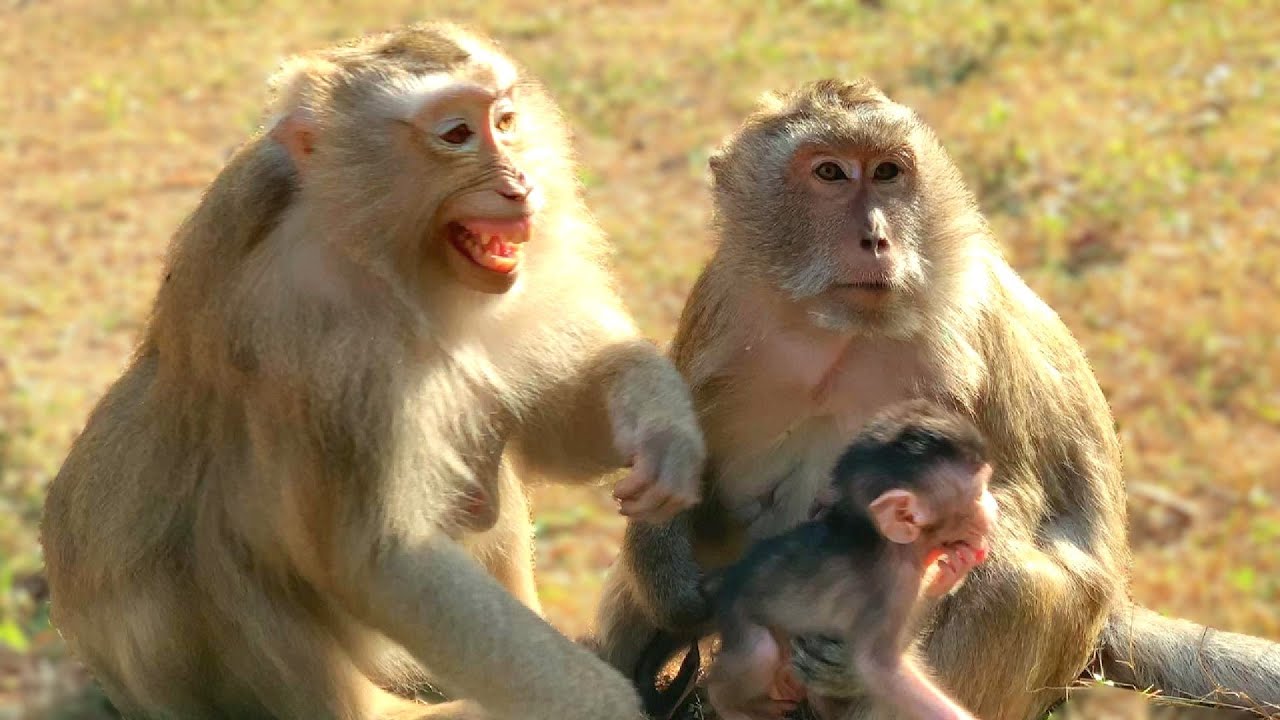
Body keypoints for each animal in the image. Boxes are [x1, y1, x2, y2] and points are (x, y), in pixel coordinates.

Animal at [39, 22, 706, 720]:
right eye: (456, 135)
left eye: (505, 120)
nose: (521, 186)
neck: (379, 253)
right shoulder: (322, 333)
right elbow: (386, 562)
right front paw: (601, 702)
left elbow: (552, 431)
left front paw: (663, 426)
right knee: (204, 556)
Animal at [703, 400, 998, 720]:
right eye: (979, 495)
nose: (994, 506)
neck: (887, 543)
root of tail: (728, 583)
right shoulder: (891, 585)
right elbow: (878, 668)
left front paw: (953, 570)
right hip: (738, 617)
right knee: (759, 652)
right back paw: (728, 704)